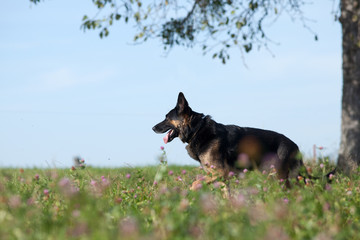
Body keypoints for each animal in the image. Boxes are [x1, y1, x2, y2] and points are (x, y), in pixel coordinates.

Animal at [153, 92, 334, 193]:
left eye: (167, 118)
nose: (153, 127)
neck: (197, 129)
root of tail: (294, 145)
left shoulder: (219, 172)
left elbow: (195, 182)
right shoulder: (222, 177)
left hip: (281, 177)